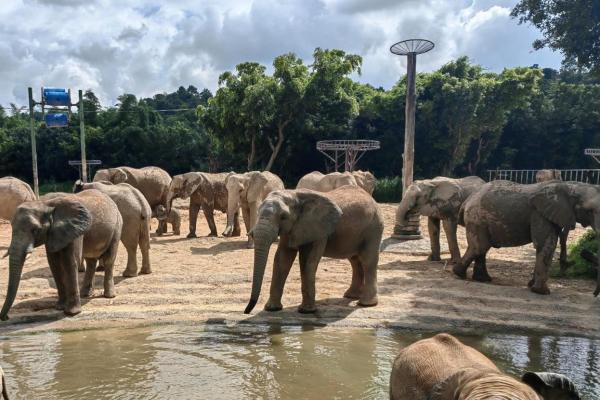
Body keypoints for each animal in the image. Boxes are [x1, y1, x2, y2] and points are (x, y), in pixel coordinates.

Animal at [0, 190, 123, 318]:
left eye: (35, 230)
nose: (6, 317)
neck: (45, 204)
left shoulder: (75, 230)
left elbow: (70, 261)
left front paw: (71, 313)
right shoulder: (53, 233)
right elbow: (54, 264)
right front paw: (59, 307)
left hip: (117, 226)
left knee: (109, 259)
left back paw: (108, 296)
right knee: (91, 261)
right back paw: (85, 294)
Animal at [243, 186, 380, 314]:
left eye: (283, 217)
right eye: (258, 212)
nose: (246, 311)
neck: (294, 194)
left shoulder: (318, 229)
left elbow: (307, 261)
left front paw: (306, 311)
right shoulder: (291, 229)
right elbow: (282, 259)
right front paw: (272, 309)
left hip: (373, 228)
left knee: (368, 261)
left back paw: (366, 303)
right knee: (355, 261)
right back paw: (350, 296)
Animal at [454, 180, 600, 294]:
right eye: (589, 211)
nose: (584, 252)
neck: (570, 186)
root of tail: (467, 200)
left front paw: (531, 285)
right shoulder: (540, 214)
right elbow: (546, 244)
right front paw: (541, 292)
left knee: (483, 247)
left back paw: (482, 279)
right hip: (476, 217)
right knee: (480, 247)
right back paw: (459, 274)